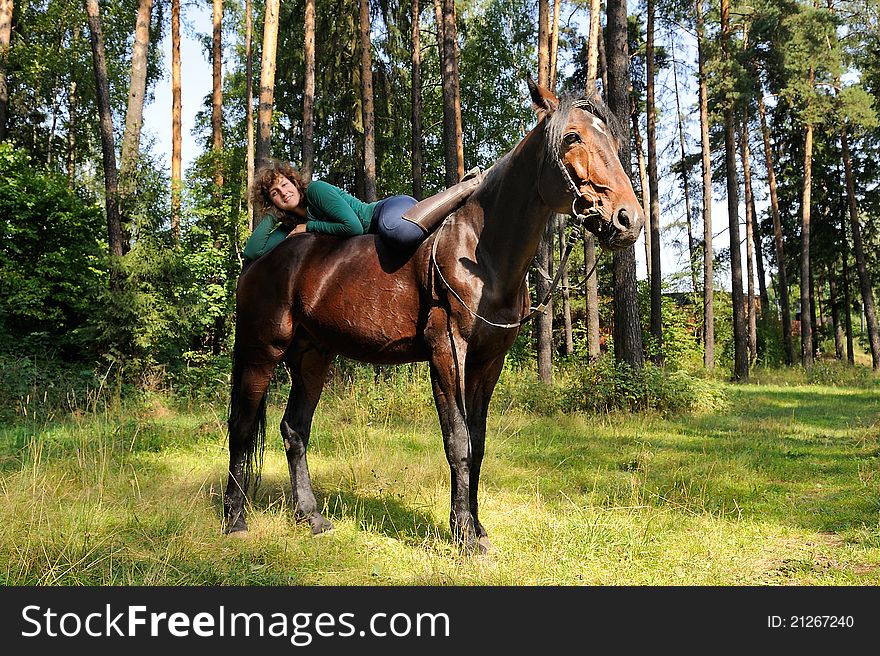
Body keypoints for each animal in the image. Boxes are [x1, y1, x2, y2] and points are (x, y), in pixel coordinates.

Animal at [223, 80, 644, 552]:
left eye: (614, 141)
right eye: (572, 137)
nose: (629, 219)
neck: (480, 253)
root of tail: (259, 260)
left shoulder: (487, 362)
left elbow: (478, 443)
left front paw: (476, 526)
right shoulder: (447, 353)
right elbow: (458, 442)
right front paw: (464, 537)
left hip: (312, 358)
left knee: (294, 430)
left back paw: (311, 517)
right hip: (262, 351)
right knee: (241, 428)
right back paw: (235, 520)